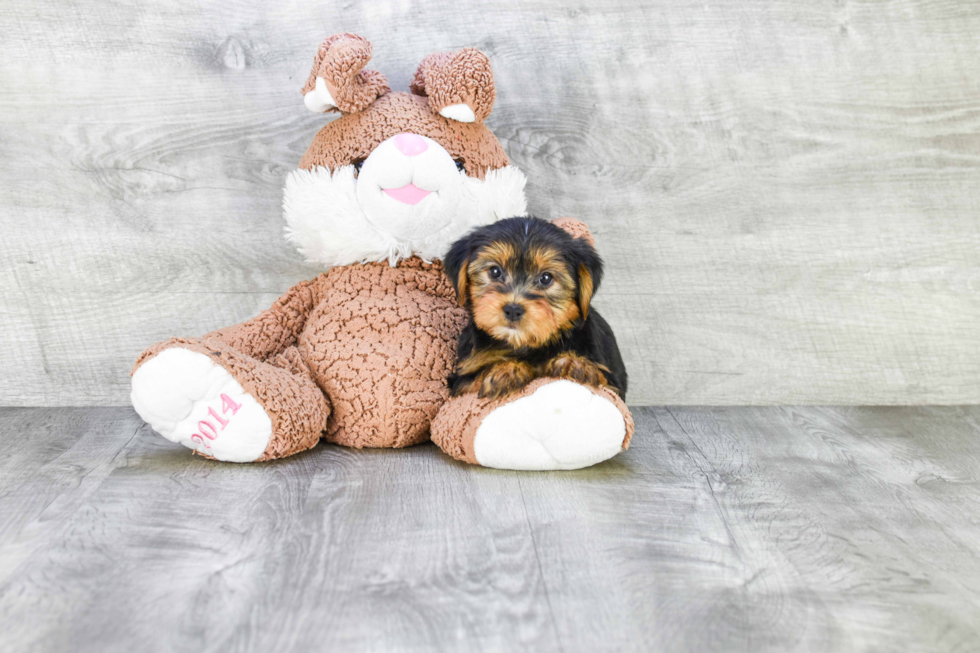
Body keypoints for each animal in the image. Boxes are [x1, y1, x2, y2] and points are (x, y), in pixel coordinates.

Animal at [444, 216, 628, 400]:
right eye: (495, 272)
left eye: (546, 278)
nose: (513, 310)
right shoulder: (461, 383)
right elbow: (474, 379)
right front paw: (507, 370)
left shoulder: (612, 385)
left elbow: (601, 378)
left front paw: (574, 362)